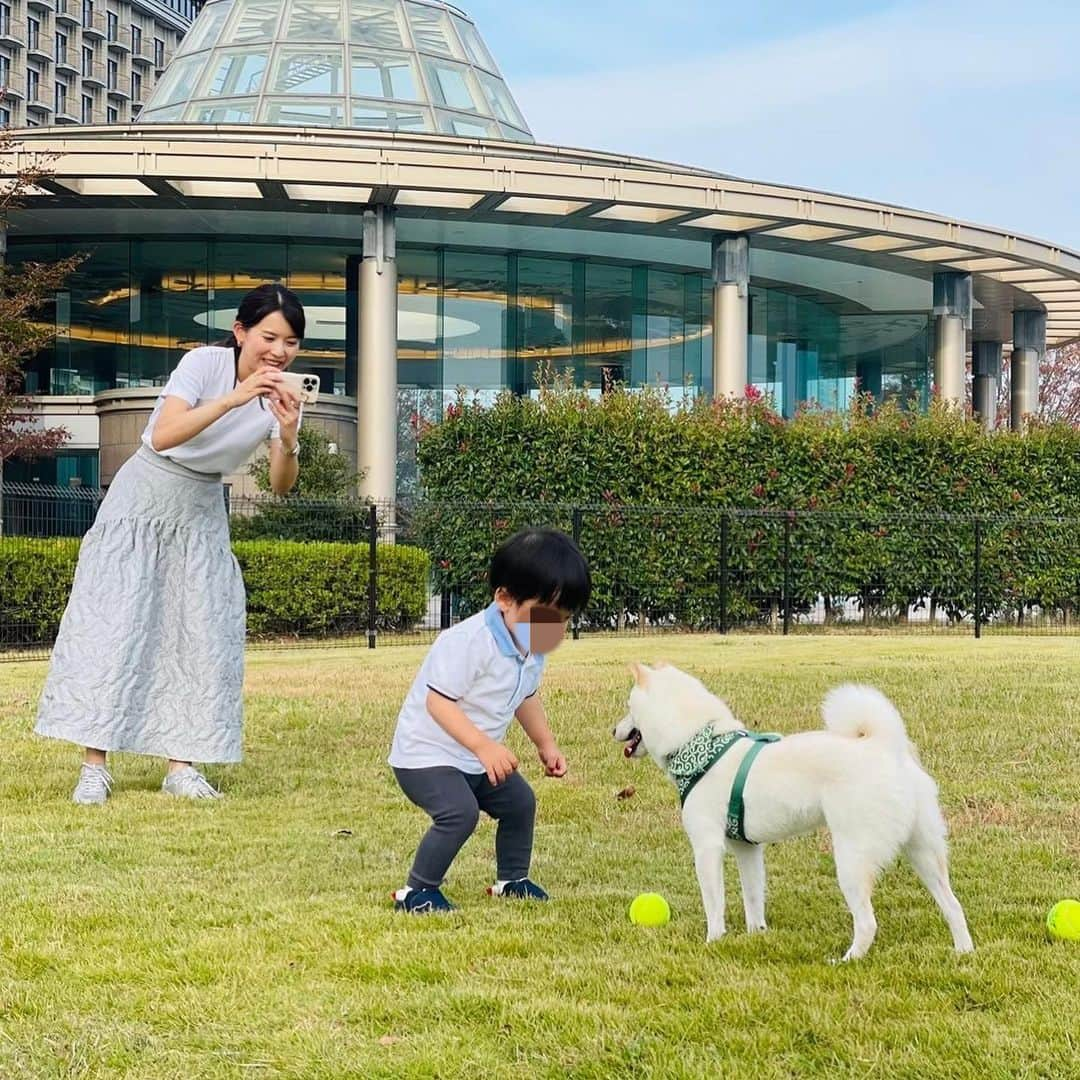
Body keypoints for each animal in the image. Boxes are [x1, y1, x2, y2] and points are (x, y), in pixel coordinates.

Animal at [613, 665, 976, 963]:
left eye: (628, 708)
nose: (612, 731)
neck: (699, 744)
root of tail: (884, 746)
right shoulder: (747, 849)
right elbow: (753, 899)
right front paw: (756, 936)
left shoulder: (707, 848)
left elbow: (714, 905)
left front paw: (713, 942)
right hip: (924, 853)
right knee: (953, 905)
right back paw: (963, 952)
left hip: (852, 858)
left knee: (867, 922)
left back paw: (848, 960)